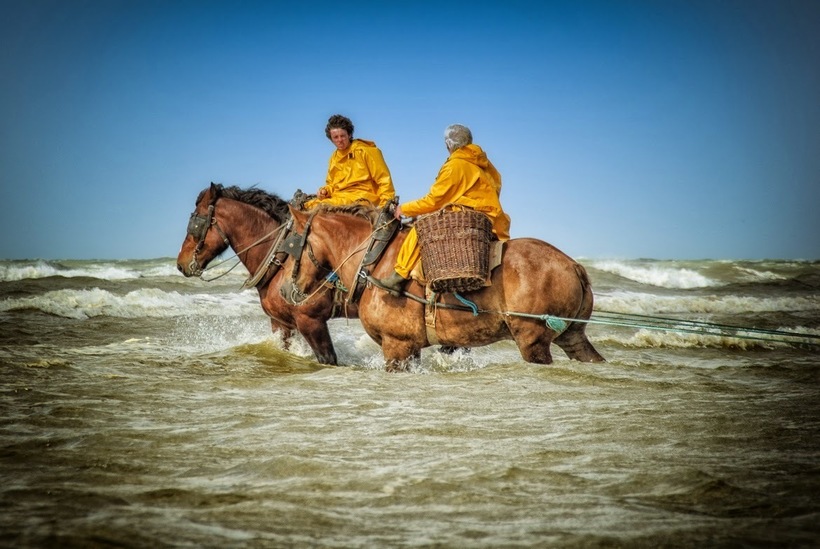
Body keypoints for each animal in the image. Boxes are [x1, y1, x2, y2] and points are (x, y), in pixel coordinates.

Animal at [176, 184, 356, 364]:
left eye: (195, 224)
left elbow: (328, 358)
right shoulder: (281, 322)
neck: (281, 259)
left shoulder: (311, 321)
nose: (180, 264)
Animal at [286, 203, 604, 370]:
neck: (373, 259)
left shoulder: (396, 347)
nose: (286, 291)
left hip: (532, 340)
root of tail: (573, 265)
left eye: (291, 245)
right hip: (572, 336)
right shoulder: (410, 348)